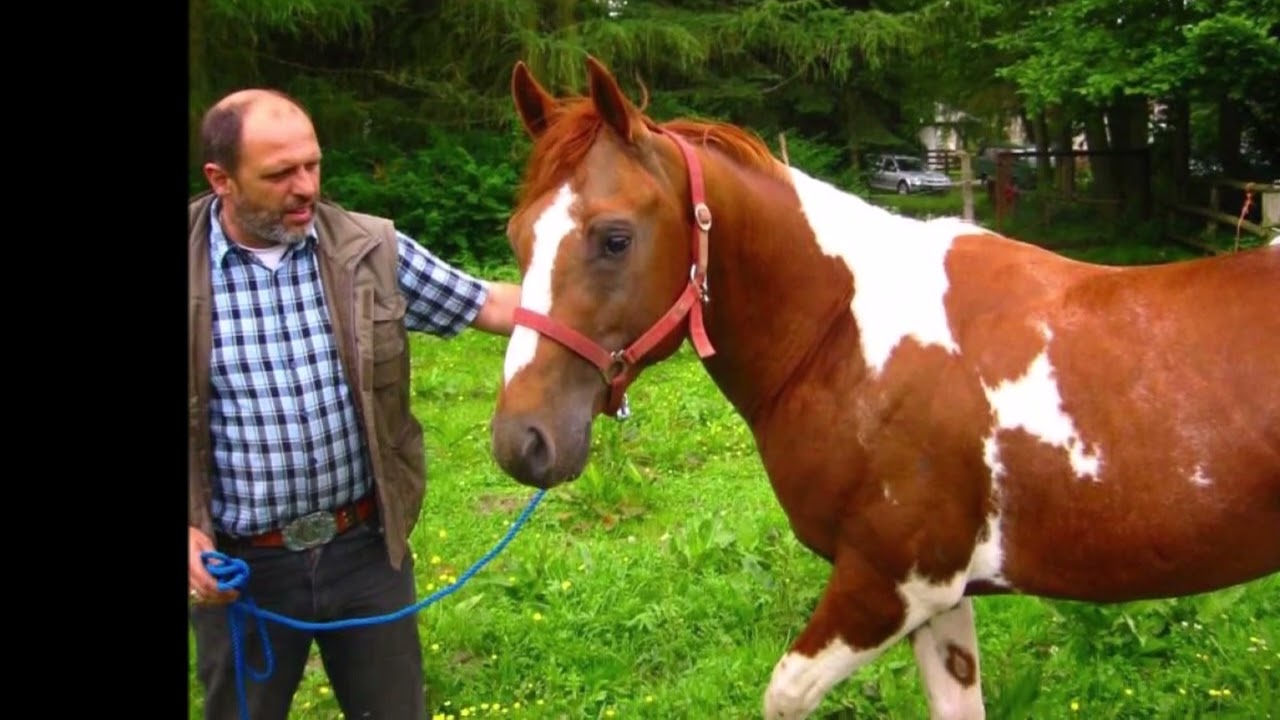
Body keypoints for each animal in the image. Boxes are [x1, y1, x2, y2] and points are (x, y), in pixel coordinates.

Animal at [488, 56, 1280, 719]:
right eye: (518, 236)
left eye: (614, 238)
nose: (522, 441)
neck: (844, 336)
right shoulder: (939, 600)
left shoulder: (890, 584)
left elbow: (785, 695)